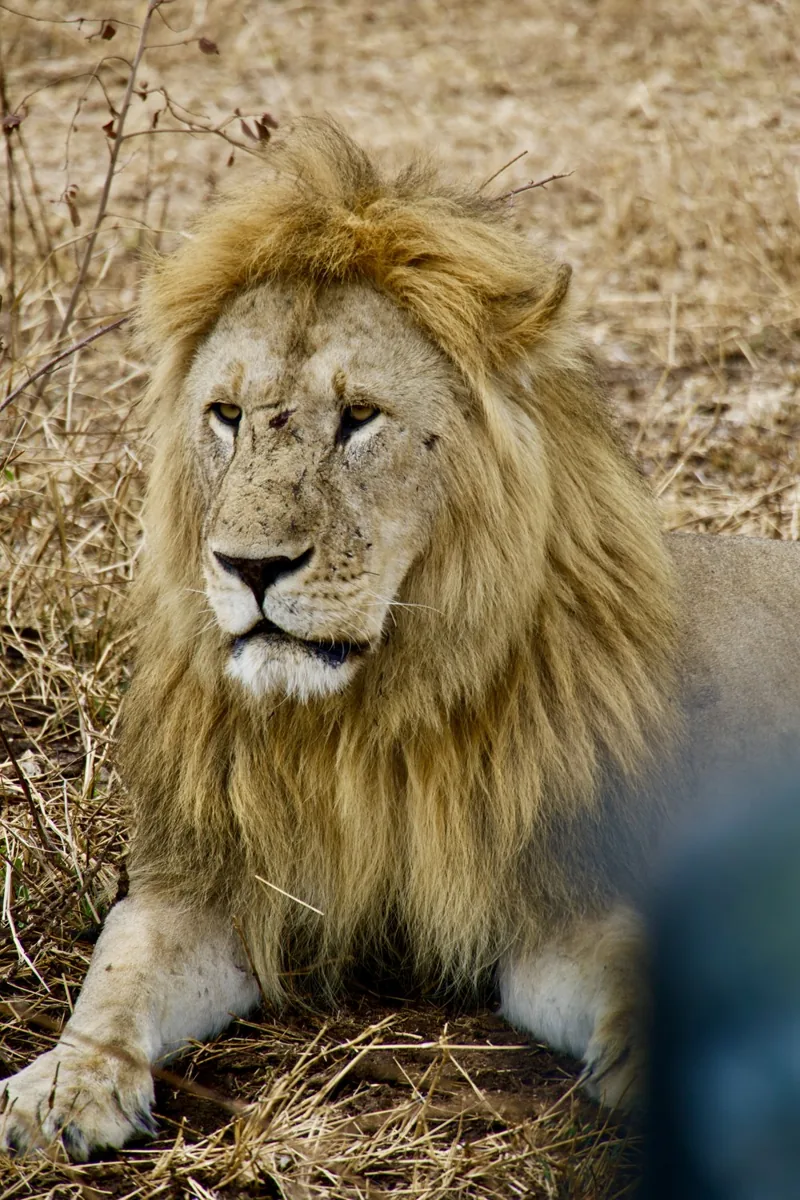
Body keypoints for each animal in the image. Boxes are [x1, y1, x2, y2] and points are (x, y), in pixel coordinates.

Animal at [3, 120, 800, 1160]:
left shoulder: (562, 901)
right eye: (226, 415)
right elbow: (117, 970)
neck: (362, 717)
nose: (247, 566)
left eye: (359, 418)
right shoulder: (206, 886)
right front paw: (64, 1085)